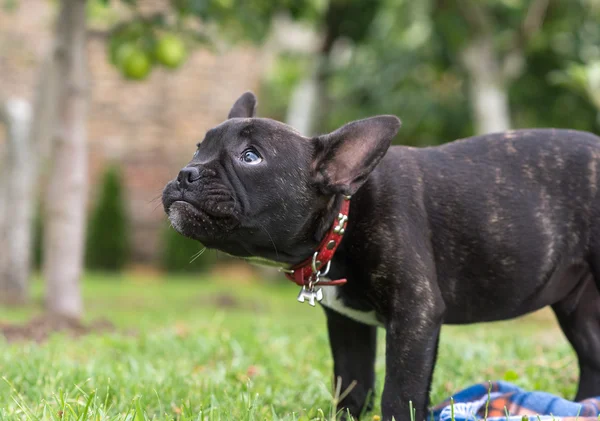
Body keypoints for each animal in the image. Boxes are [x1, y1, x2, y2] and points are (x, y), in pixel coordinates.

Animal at [162, 92, 600, 420]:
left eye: (250, 157)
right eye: (198, 149)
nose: (186, 173)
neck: (345, 216)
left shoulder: (414, 315)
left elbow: (399, 390)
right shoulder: (348, 327)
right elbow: (352, 383)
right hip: (578, 307)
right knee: (592, 357)